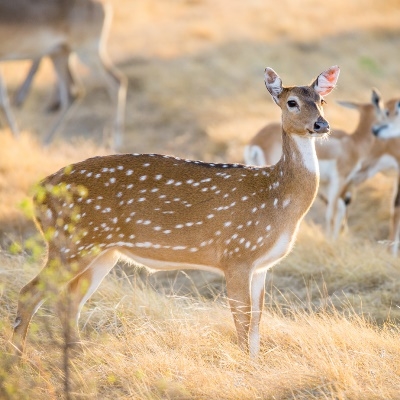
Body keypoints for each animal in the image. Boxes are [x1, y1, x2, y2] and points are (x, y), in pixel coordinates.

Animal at [0, 0, 126, 148]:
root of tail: (104, 5)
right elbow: (3, 99)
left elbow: (3, 100)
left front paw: (17, 138)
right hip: (60, 55)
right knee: (73, 93)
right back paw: (45, 142)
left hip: (86, 52)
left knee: (116, 82)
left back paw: (116, 143)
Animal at [10, 64, 340, 358]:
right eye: (292, 102)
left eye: (322, 100)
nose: (321, 125)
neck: (277, 198)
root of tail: (39, 193)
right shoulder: (236, 254)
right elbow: (242, 321)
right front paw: (244, 365)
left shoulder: (262, 265)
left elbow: (258, 322)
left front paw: (256, 364)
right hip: (72, 242)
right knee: (31, 293)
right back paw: (19, 357)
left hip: (100, 250)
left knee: (70, 299)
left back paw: (77, 353)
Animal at [245, 90, 390, 238]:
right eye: (385, 112)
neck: (353, 142)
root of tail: (256, 143)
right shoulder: (339, 179)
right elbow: (333, 211)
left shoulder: (327, 184)